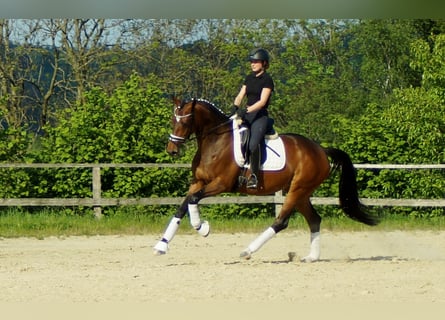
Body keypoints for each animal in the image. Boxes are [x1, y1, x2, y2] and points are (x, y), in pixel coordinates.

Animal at [153, 98, 378, 262]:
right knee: (314, 219)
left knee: (281, 221)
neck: (215, 142)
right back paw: (311, 257)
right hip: (300, 192)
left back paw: (248, 251)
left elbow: (192, 200)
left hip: (298, 189)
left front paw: (202, 227)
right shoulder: (198, 182)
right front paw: (161, 245)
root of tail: (321, 150)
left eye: (185, 121)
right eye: (173, 120)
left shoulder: (221, 184)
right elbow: (183, 206)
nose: (172, 150)